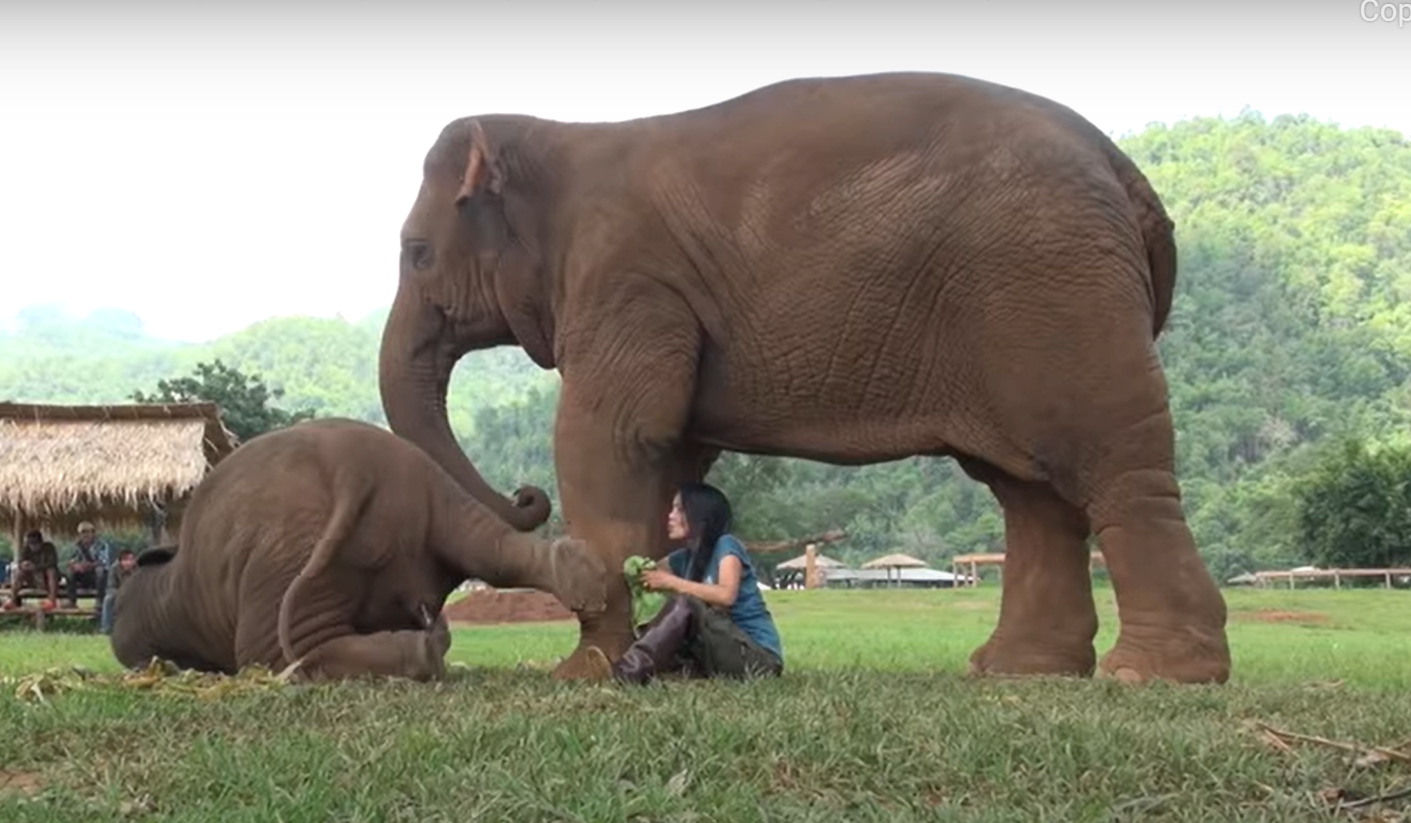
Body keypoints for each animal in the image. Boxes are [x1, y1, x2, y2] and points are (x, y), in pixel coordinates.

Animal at [380, 70, 1230, 688]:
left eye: (416, 252)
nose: (525, 497)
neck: (559, 135)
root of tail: (1125, 172)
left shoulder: (626, 282)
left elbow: (609, 438)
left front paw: (580, 673)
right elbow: (672, 454)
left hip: (1057, 295)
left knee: (1108, 467)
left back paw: (1151, 675)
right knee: (1030, 493)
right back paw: (1020, 672)